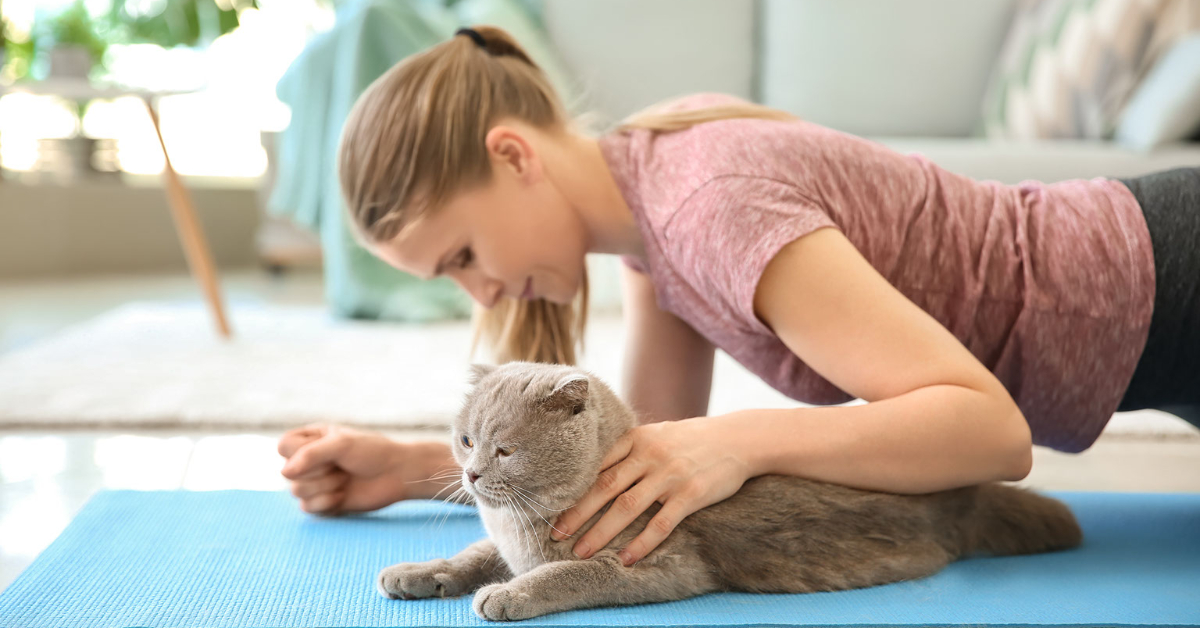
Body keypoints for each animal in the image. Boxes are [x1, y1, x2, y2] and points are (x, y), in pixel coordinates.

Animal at [376, 360, 1089, 619]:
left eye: (505, 449)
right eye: (465, 439)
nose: (471, 474)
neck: (522, 527)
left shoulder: (660, 563)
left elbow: (568, 574)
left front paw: (507, 595)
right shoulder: (500, 542)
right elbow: (472, 554)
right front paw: (415, 574)